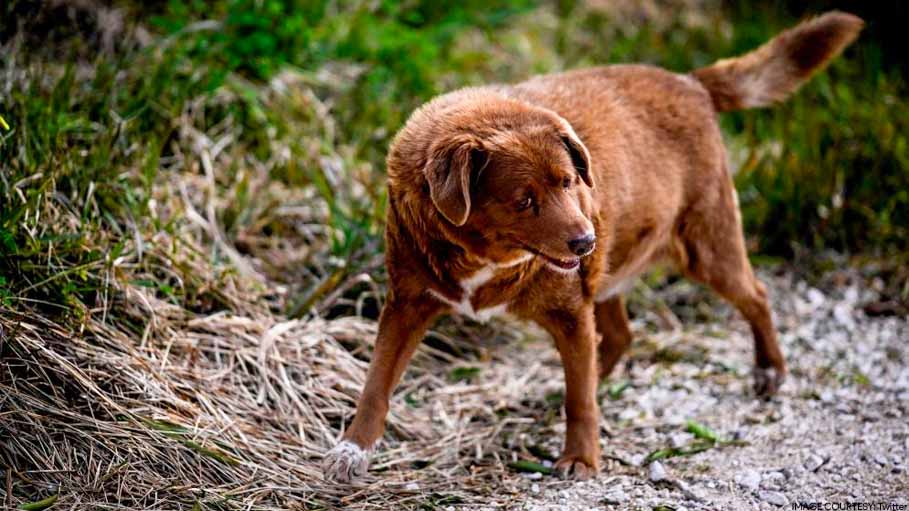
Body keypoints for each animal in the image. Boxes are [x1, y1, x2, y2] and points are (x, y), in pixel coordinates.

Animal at [322, 12, 860, 484]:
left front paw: (580, 458)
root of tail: (691, 83)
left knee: (755, 296)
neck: (484, 257)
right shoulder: (407, 303)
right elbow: (376, 382)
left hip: (704, 245)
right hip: (611, 270)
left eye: (568, 181)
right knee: (618, 337)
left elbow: (579, 399)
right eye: (524, 200)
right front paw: (352, 448)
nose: (585, 240)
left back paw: (769, 371)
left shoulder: (569, 310)